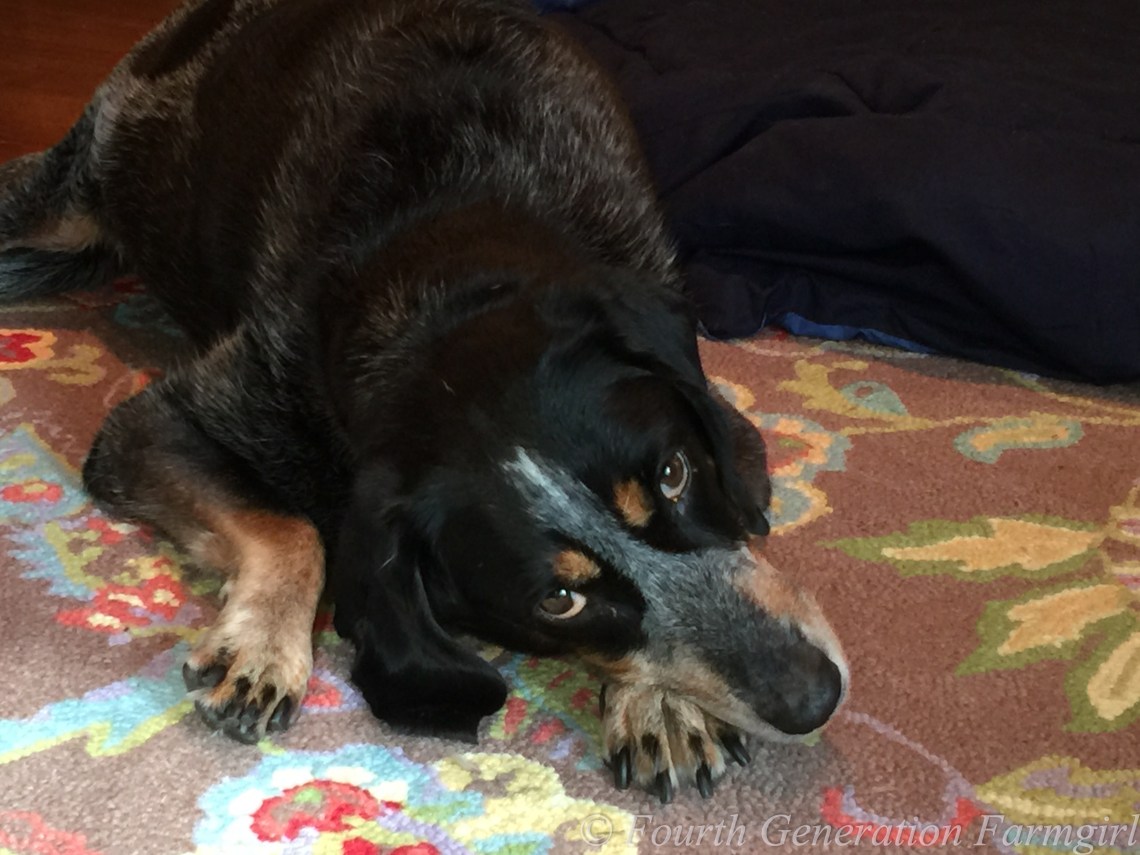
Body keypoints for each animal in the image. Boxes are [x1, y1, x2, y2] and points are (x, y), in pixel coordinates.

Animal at [0, 0, 847, 801]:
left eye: (674, 474)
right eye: (559, 601)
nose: (816, 698)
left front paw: (661, 703)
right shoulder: (161, 421)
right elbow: (292, 527)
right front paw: (264, 642)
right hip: (64, 205)